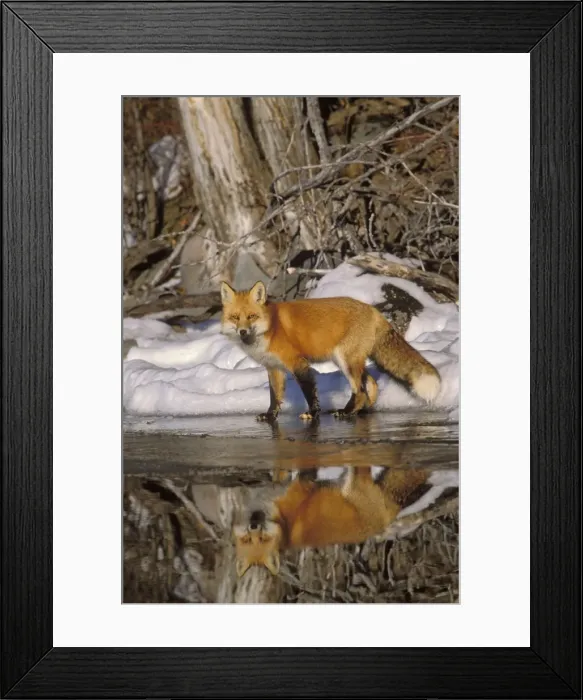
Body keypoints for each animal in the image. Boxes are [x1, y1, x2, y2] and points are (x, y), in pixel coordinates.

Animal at [220, 279, 441, 422]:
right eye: (235, 318)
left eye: (251, 316)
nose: (242, 331)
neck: (271, 327)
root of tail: (372, 309)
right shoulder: (274, 368)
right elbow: (275, 397)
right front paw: (269, 416)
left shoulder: (297, 363)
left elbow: (310, 392)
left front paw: (312, 413)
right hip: (350, 362)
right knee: (371, 383)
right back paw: (363, 411)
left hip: (345, 361)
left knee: (360, 390)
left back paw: (347, 412)